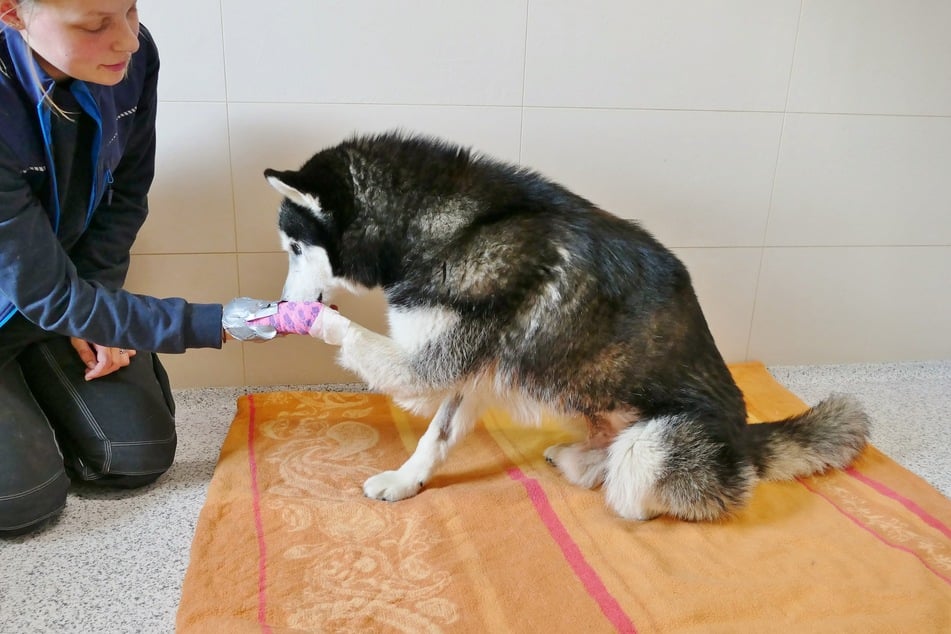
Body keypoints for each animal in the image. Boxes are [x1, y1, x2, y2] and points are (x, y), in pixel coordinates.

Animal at [262, 132, 872, 520]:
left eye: (295, 247)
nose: (282, 299)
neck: (447, 226)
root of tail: (747, 438)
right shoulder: (472, 374)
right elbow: (436, 438)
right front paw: (406, 480)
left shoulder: (428, 366)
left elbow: (353, 335)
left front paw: (301, 318)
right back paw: (580, 457)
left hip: (652, 445)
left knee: (637, 487)